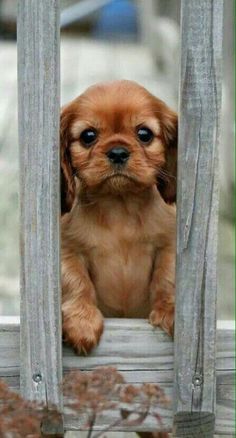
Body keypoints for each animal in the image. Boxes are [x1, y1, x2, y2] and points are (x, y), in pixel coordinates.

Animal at [60, 80, 176, 354]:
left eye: (144, 134)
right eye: (88, 136)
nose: (118, 152)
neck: (119, 204)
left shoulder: (168, 243)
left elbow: (167, 277)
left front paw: (169, 309)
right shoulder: (67, 249)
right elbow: (75, 281)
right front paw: (82, 320)